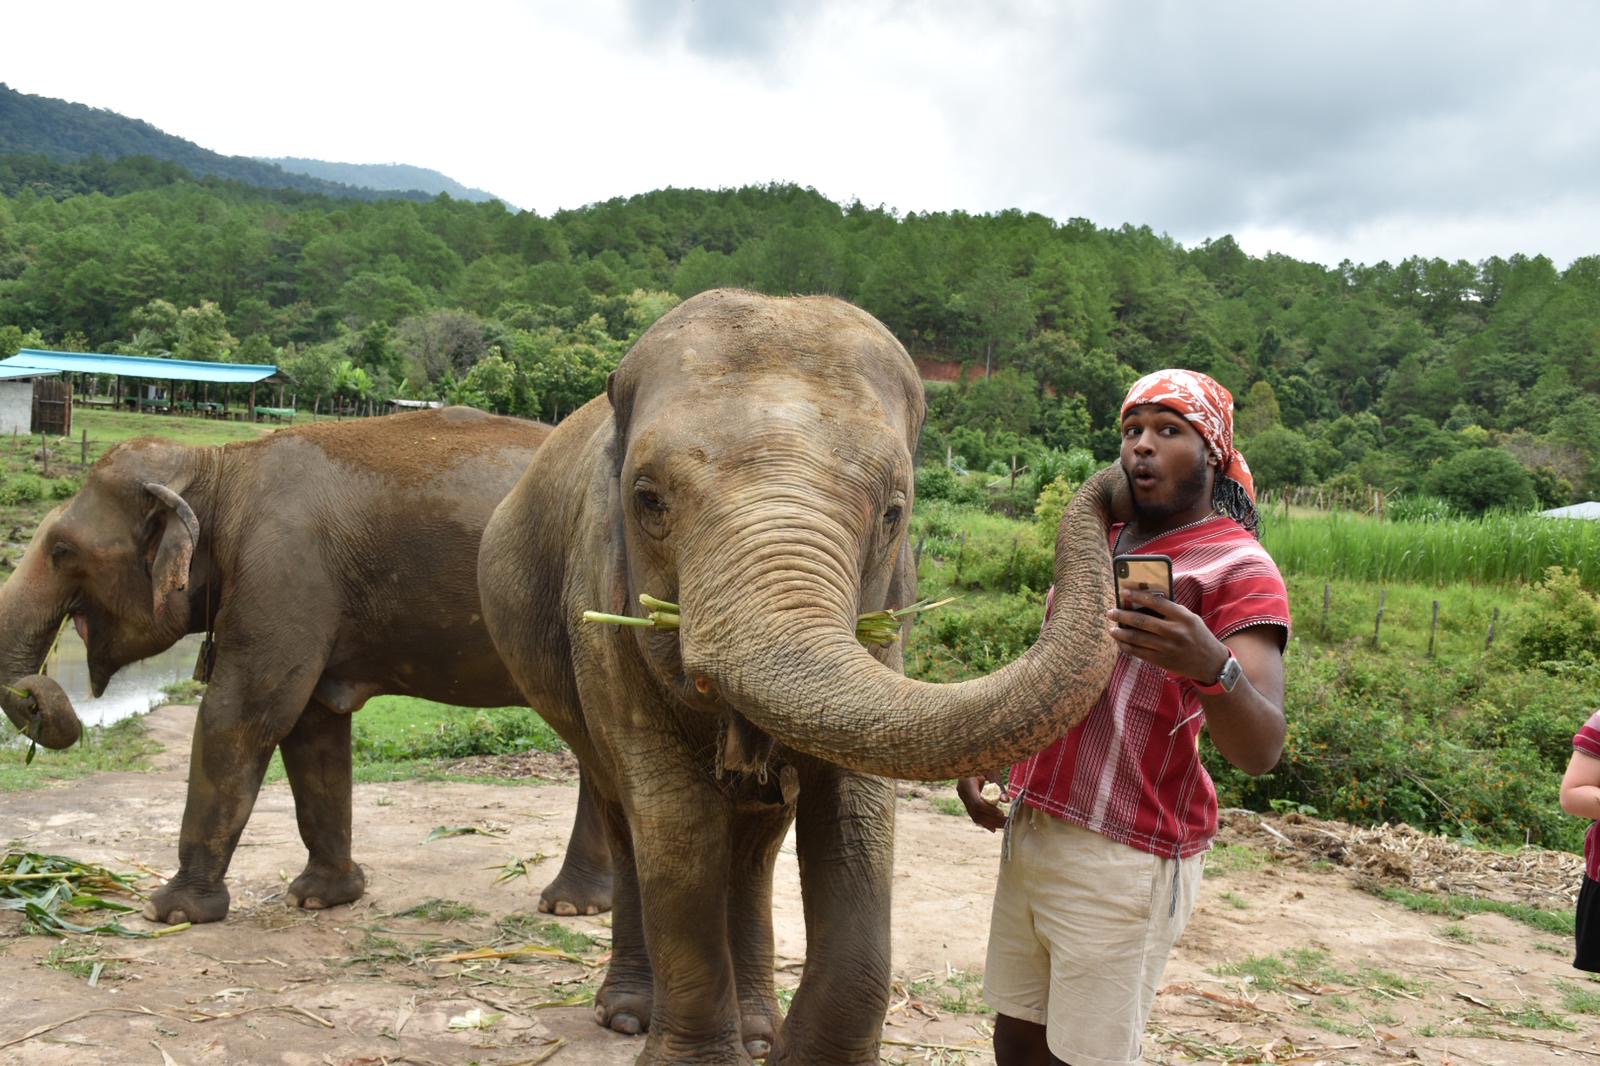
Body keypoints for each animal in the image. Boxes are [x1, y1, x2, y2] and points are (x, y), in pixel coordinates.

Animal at [0, 407, 612, 925]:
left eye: (61, 550)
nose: (37, 693)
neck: (220, 467)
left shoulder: (284, 571)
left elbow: (241, 715)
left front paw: (170, 912)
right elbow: (311, 727)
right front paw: (321, 898)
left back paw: (569, 907)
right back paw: (579, 905)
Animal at [478, 289, 1122, 1065]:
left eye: (894, 512)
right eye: (647, 499)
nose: (1122, 476)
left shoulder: (885, 633)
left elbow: (855, 808)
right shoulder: (597, 607)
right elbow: (675, 820)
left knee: (756, 843)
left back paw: (757, 1030)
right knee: (626, 809)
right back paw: (628, 1015)